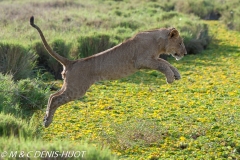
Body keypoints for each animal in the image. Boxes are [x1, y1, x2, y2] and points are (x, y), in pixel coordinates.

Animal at [29, 15, 188, 127]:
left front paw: (176, 74)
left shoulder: (152, 59)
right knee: (55, 98)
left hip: (70, 86)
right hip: (76, 89)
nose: (185, 53)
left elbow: (165, 62)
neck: (158, 41)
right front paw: (170, 77)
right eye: (180, 43)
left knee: (52, 95)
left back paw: (46, 118)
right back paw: (47, 122)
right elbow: (163, 64)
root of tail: (71, 62)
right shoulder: (143, 61)